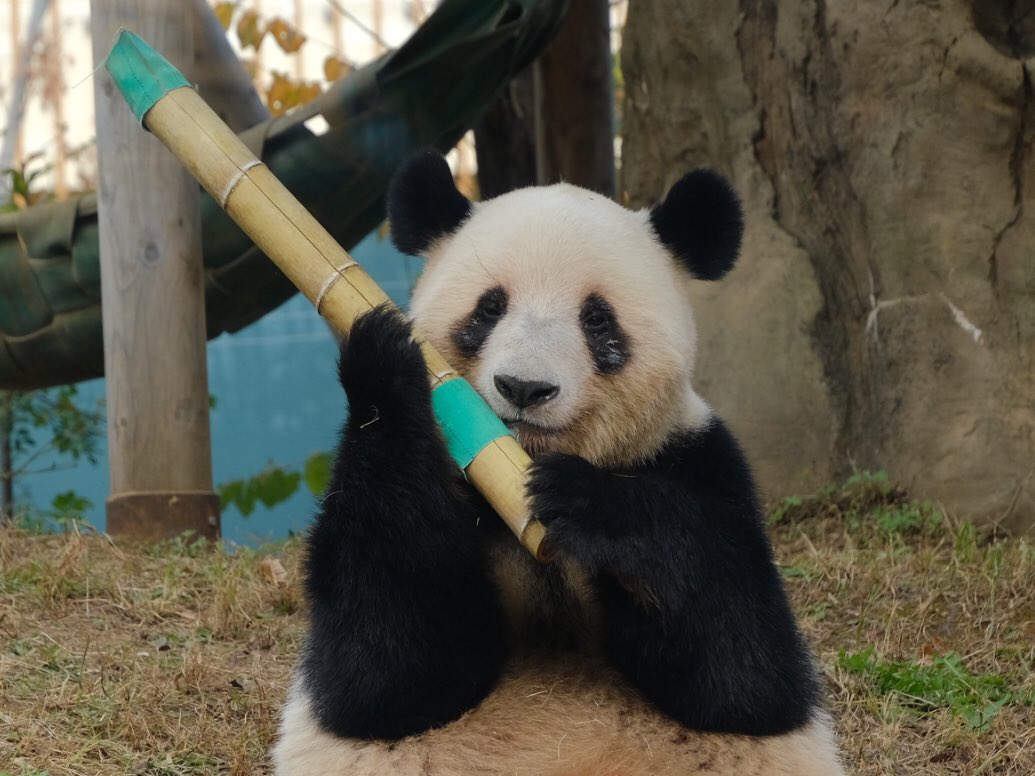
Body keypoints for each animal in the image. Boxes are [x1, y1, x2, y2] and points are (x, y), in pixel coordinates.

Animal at [272, 151, 845, 776]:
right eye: (489, 308)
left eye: (596, 319)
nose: (524, 387)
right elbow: (380, 673)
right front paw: (387, 357)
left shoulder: (699, 458)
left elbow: (747, 671)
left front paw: (587, 503)